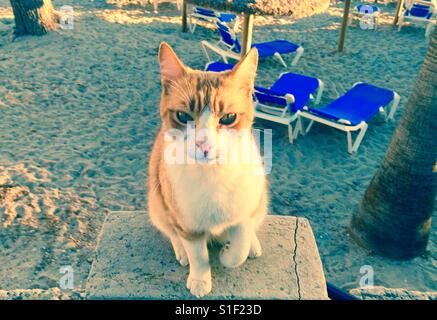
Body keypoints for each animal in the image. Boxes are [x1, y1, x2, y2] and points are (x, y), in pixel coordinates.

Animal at [148, 42, 268, 298]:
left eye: (228, 117)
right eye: (183, 116)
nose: (203, 144)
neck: (213, 174)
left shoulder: (244, 211)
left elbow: (239, 250)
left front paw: (229, 252)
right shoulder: (188, 224)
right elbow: (199, 256)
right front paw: (200, 279)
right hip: (156, 204)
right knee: (170, 230)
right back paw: (181, 251)